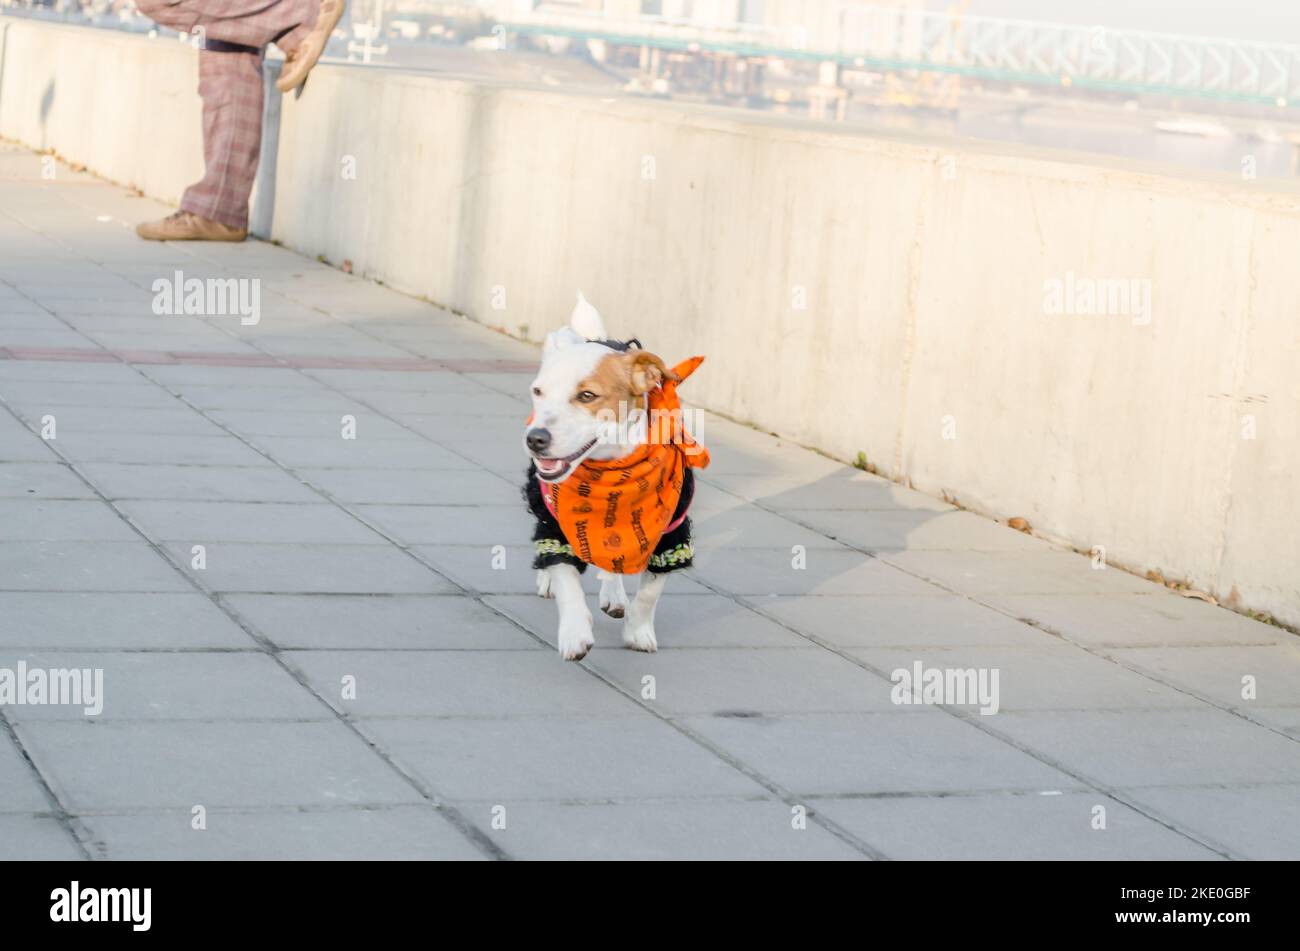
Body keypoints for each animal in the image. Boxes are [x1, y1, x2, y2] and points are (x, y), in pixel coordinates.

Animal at [520, 291, 712, 659]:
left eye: (587, 395)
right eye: (538, 391)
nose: (535, 439)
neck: (613, 473)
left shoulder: (672, 532)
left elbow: (650, 592)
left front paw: (638, 633)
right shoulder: (555, 523)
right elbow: (566, 578)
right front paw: (575, 633)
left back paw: (615, 595)